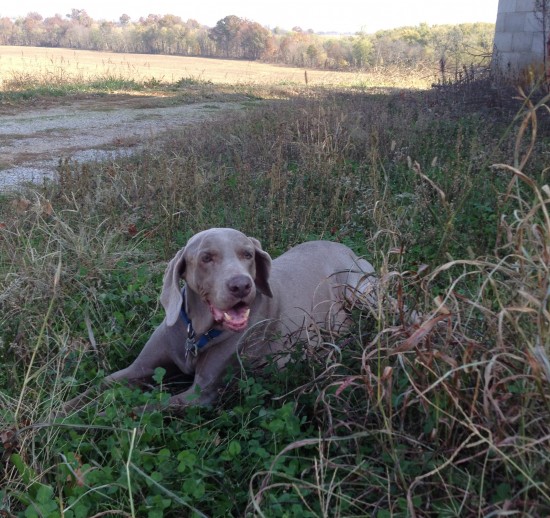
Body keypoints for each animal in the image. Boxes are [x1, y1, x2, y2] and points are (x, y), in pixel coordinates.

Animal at [62, 228, 378, 414]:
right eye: (206, 258)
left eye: (248, 254)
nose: (241, 286)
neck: (195, 333)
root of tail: (344, 247)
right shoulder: (138, 369)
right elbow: (100, 386)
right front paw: (60, 412)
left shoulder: (201, 393)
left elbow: (135, 411)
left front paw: (100, 418)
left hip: (361, 290)